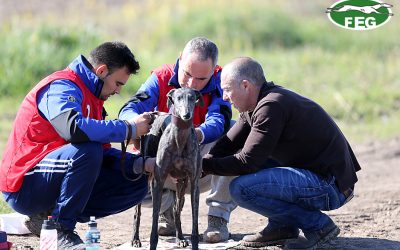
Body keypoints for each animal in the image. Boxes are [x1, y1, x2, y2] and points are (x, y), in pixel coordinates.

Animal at [132, 88, 203, 250]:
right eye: (178, 98)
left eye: (192, 98)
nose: (186, 115)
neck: (179, 139)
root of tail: (155, 114)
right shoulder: (158, 182)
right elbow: (153, 227)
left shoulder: (193, 182)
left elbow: (194, 224)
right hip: (147, 176)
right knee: (137, 211)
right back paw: (135, 239)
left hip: (181, 183)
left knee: (176, 210)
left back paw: (180, 238)